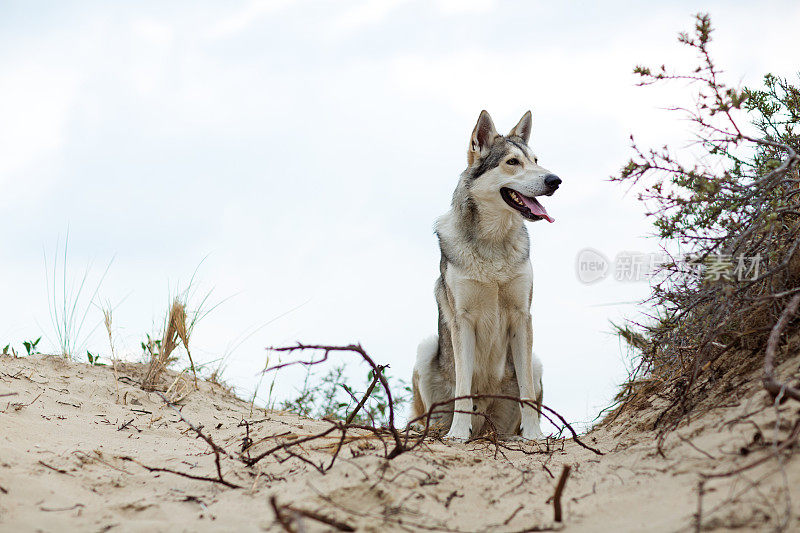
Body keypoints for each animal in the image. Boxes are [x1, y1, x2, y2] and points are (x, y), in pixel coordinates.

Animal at [412, 109, 564, 440]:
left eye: (536, 159)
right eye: (512, 162)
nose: (555, 180)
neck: (493, 243)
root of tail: (486, 429)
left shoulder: (522, 317)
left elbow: (527, 394)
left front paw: (534, 436)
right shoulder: (463, 321)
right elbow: (464, 388)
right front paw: (457, 434)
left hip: (535, 361)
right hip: (426, 346)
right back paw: (435, 431)